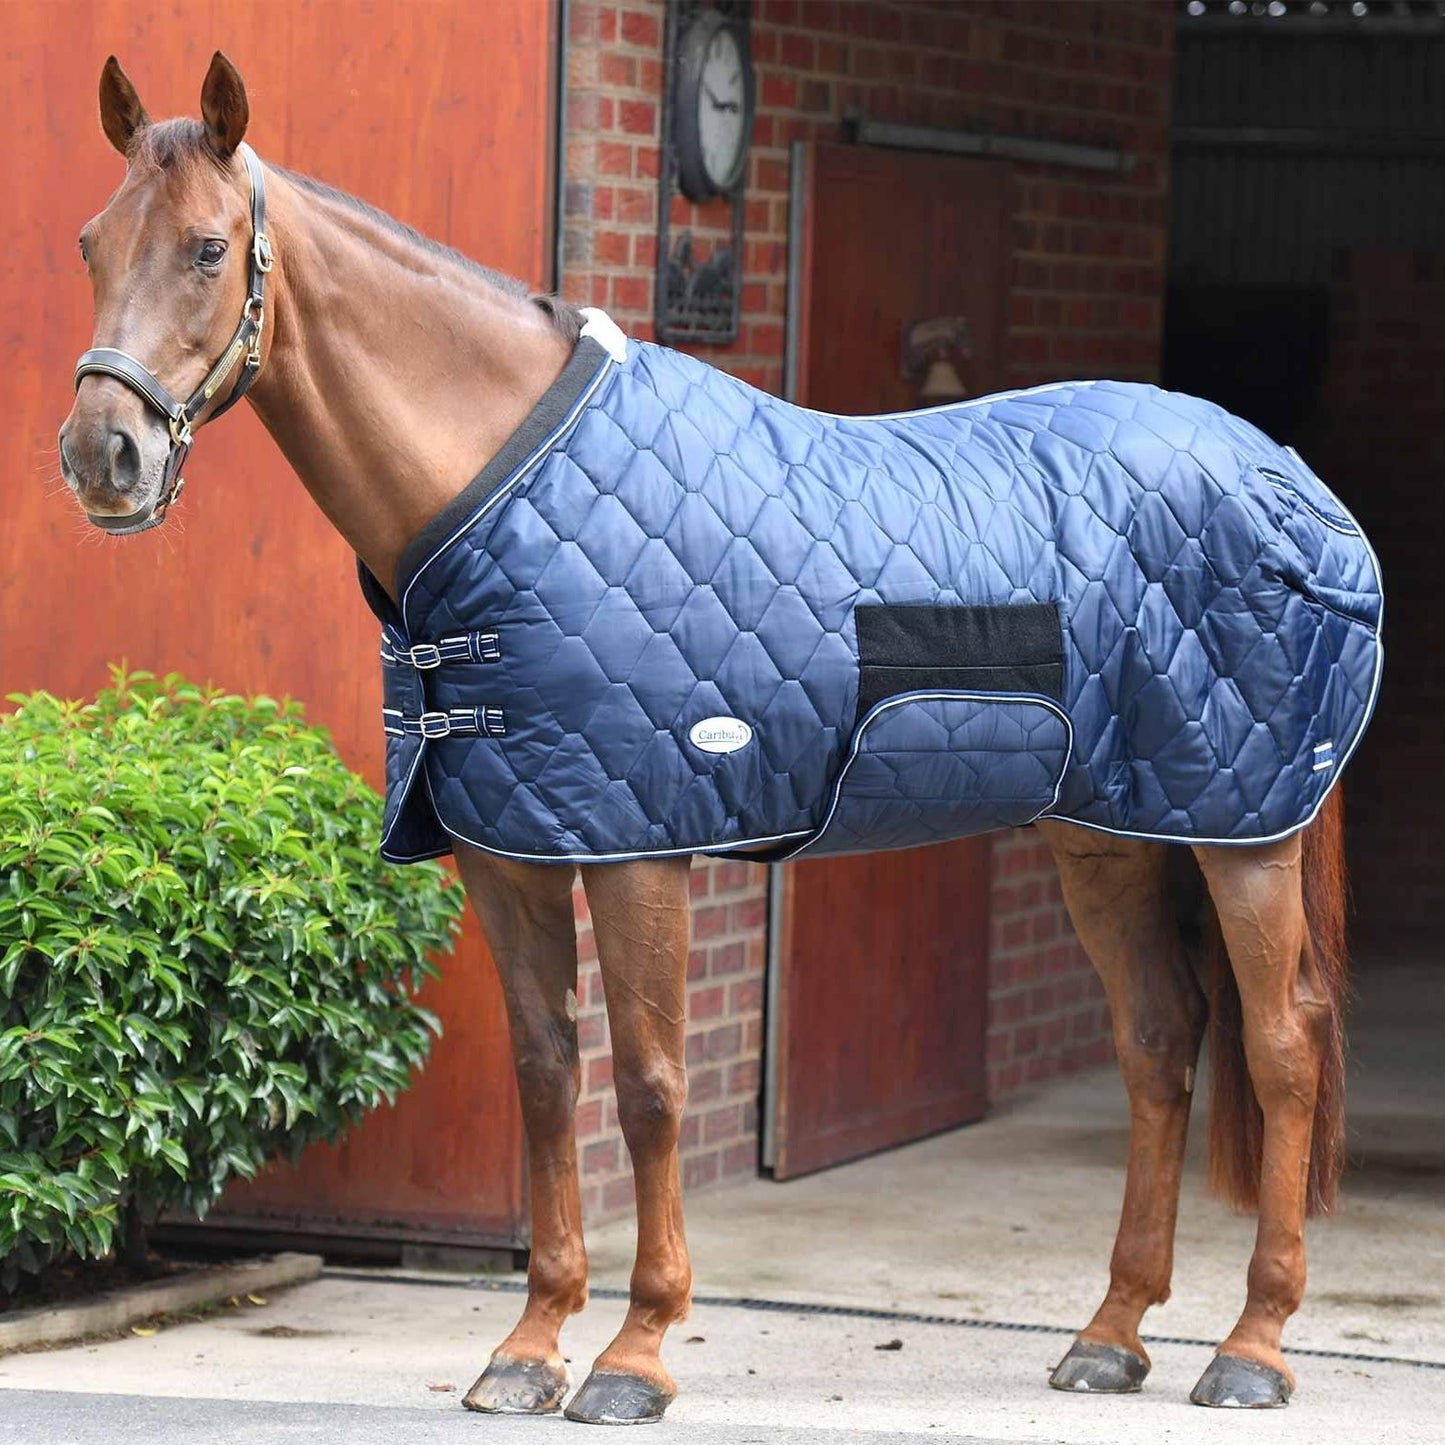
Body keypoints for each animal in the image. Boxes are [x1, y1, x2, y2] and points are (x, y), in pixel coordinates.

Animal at [57, 53, 1379, 1423]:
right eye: (94, 244)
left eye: (210, 248)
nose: (103, 455)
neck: (505, 492)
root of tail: (1291, 483)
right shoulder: (510, 849)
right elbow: (547, 1077)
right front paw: (528, 1346)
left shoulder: (642, 845)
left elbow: (647, 1087)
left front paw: (634, 1352)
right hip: (1113, 832)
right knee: (1159, 1040)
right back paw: (1110, 1333)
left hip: (1242, 833)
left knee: (1281, 1045)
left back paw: (1252, 1344)